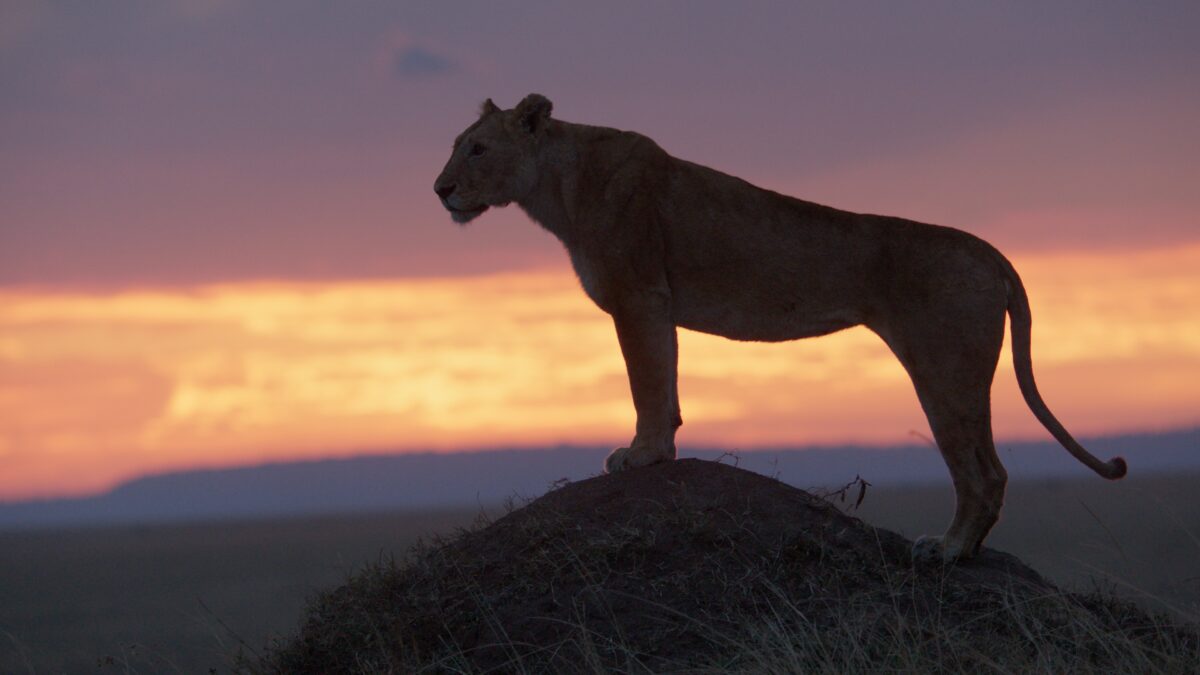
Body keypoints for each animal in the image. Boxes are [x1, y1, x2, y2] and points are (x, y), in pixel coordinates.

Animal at [433, 93, 1127, 561]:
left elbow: (647, 382)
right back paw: (963, 550)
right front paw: (659, 450)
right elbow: (665, 381)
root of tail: (989, 251)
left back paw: (949, 550)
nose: (439, 190)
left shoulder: (639, 296)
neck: (556, 185)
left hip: (943, 369)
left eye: (476, 148)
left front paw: (642, 455)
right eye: (456, 144)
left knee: (984, 473)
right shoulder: (652, 304)